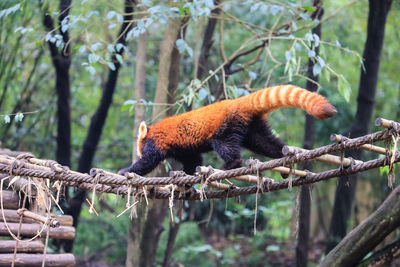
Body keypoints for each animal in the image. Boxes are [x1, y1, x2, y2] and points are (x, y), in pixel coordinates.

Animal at [117, 85, 336, 177]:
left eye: (138, 145)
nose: (136, 151)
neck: (152, 130)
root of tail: (237, 102)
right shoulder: (184, 148)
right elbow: (193, 160)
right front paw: (187, 174)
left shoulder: (157, 143)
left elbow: (148, 162)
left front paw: (126, 171)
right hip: (252, 128)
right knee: (266, 143)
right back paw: (284, 157)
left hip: (225, 127)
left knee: (225, 147)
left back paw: (229, 165)